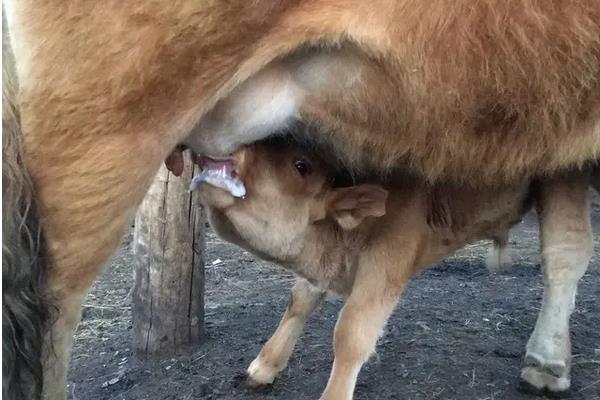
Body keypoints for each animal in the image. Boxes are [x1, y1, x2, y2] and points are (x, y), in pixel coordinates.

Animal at [192, 138, 592, 400]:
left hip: (566, 175)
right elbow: (300, 300)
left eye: (300, 166)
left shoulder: (387, 260)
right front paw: (264, 366)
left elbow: (351, 333)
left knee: (566, 252)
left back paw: (547, 364)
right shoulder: (321, 268)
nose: (224, 147)